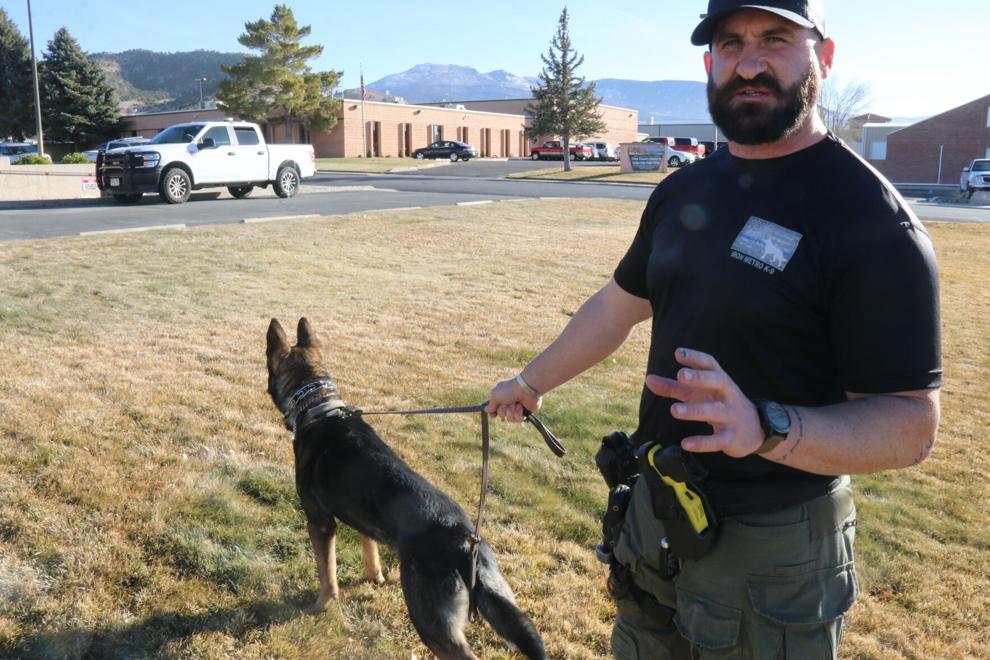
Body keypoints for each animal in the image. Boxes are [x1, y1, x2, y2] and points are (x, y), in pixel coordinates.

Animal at [268, 318, 548, 656]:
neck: (320, 409)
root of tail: (464, 540)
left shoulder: (320, 522)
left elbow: (327, 575)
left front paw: (320, 606)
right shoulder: (361, 517)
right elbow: (370, 549)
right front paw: (376, 578)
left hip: (431, 625)